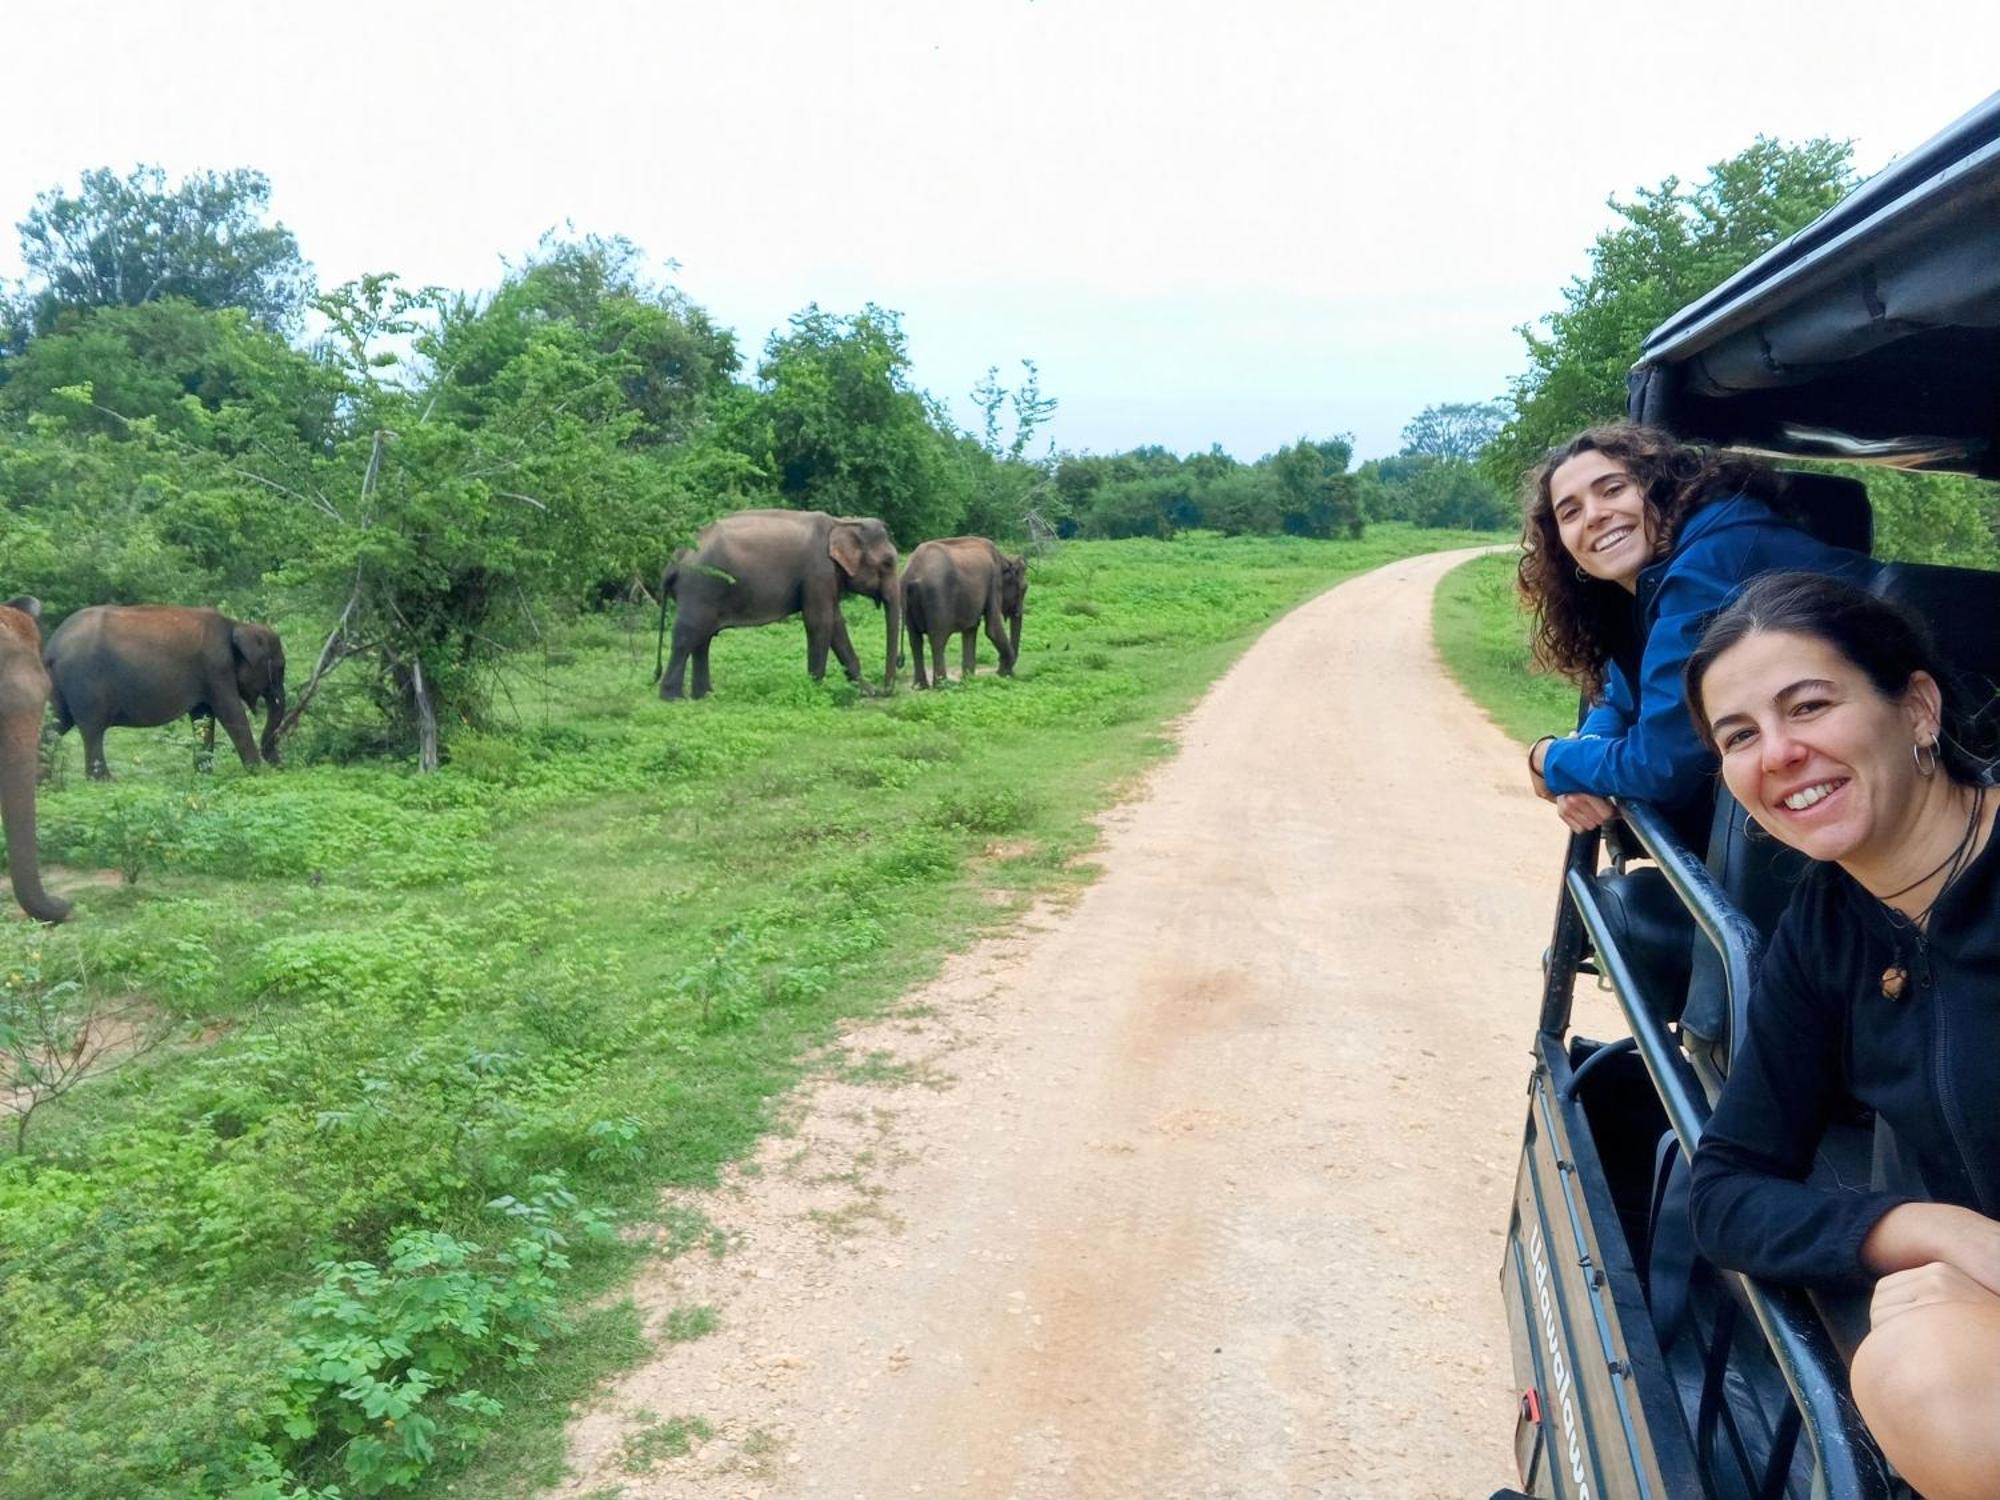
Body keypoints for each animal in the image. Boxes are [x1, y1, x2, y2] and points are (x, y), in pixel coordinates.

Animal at [46, 604, 290, 780]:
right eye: (279, 668)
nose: (279, 764)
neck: (237, 625)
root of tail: (53, 645)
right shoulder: (216, 668)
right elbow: (230, 712)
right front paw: (256, 773)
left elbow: (203, 717)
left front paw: (203, 776)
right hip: (85, 682)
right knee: (92, 729)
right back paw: (105, 781)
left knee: (56, 724)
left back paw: (46, 783)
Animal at [652, 512, 904, 704]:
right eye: (888, 562)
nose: (885, 690)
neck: (842, 522)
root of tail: (675, 559)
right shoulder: (818, 573)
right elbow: (819, 622)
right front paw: (816, 689)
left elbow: (836, 624)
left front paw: (864, 691)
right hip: (700, 587)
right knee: (688, 636)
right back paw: (673, 699)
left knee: (702, 640)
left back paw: (704, 696)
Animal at [908, 536, 1032, 692]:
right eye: (1024, 589)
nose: (1001, 668)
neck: (1004, 559)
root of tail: (914, 573)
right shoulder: (994, 583)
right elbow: (993, 628)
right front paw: (1004, 674)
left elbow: (971, 628)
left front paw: (969, 680)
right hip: (937, 598)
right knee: (938, 640)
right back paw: (943, 686)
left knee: (915, 640)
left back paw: (920, 686)